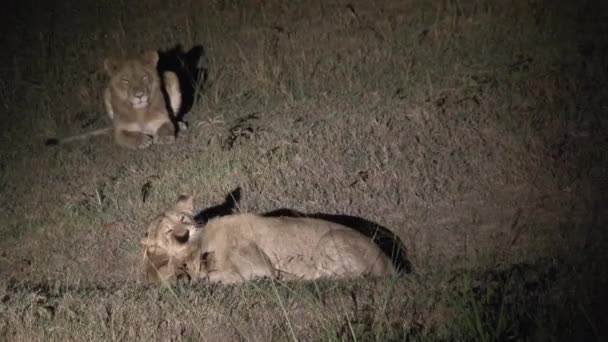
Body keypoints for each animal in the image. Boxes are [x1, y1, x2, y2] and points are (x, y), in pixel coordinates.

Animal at [45, 50, 183, 149]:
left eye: (144, 77)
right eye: (125, 80)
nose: (139, 95)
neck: (139, 111)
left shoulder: (162, 119)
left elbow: (167, 126)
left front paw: (165, 138)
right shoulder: (120, 130)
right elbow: (128, 135)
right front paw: (142, 141)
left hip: (172, 75)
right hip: (106, 92)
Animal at [141, 194, 400, 284]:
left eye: (183, 219)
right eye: (167, 231)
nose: (185, 233)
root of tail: (392, 265)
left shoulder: (259, 268)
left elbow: (213, 278)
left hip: (328, 239)